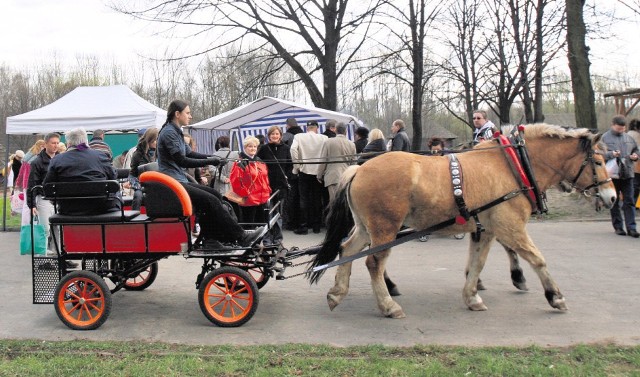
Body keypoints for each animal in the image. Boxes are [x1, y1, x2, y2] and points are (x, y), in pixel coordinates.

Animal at [308, 123, 616, 318]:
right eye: (599, 162)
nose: (612, 197)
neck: (512, 166)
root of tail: (358, 169)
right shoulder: (511, 227)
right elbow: (537, 259)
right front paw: (555, 296)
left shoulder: (486, 230)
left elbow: (477, 263)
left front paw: (472, 295)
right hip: (386, 227)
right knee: (373, 262)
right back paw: (387, 305)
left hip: (366, 226)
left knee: (347, 249)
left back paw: (337, 292)